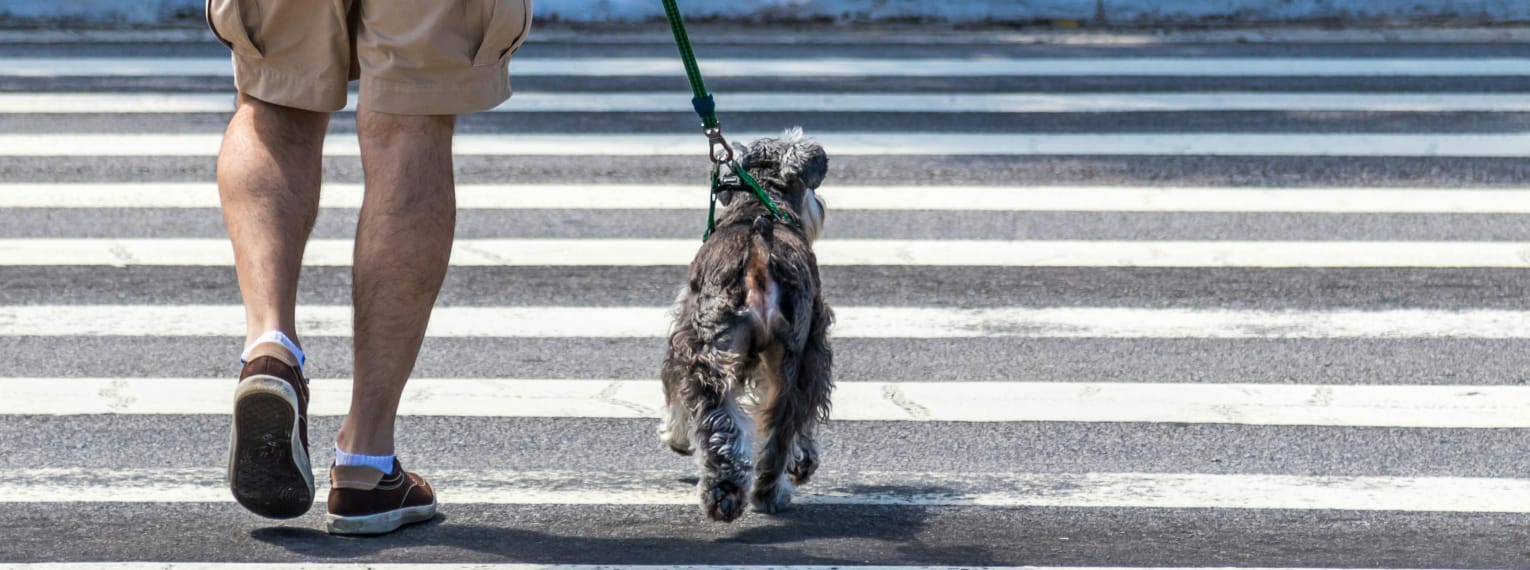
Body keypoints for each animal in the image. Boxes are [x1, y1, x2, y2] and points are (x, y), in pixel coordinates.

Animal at [660, 127, 838, 519]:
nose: (820, 206)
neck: (761, 199)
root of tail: (760, 249)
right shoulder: (814, 350)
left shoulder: (682, 332)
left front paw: (676, 438)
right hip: (792, 359)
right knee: (780, 428)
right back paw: (762, 492)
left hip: (717, 350)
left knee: (726, 422)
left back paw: (731, 493)